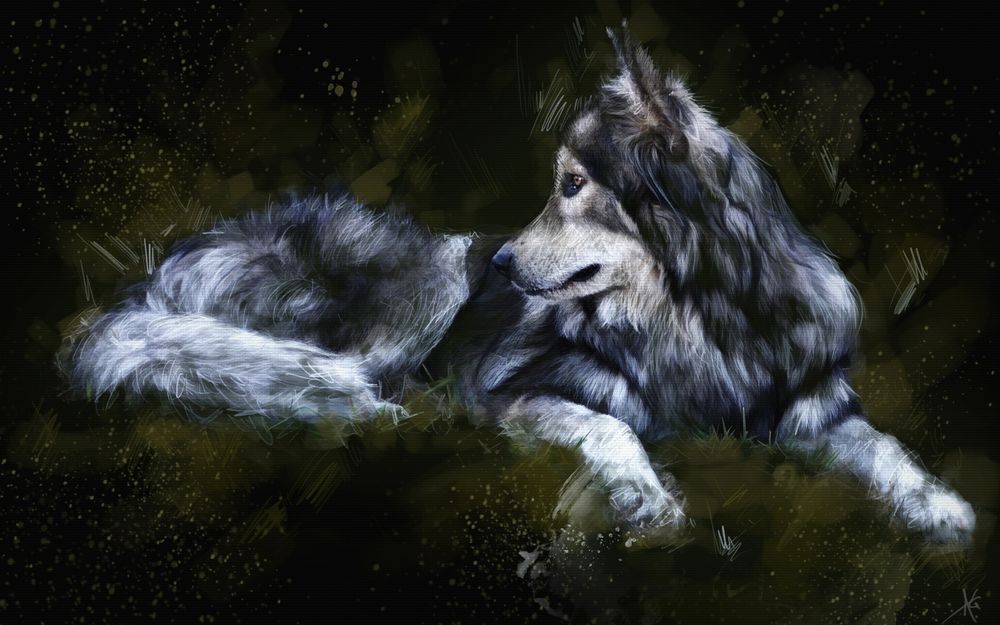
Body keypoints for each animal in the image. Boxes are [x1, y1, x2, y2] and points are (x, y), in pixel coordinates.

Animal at [63, 29, 974, 545]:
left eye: (572, 184)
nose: (498, 265)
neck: (695, 319)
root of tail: (170, 267)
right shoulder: (511, 394)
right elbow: (613, 427)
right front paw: (647, 497)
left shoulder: (810, 408)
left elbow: (888, 450)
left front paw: (941, 506)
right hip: (425, 281)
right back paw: (373, 409)